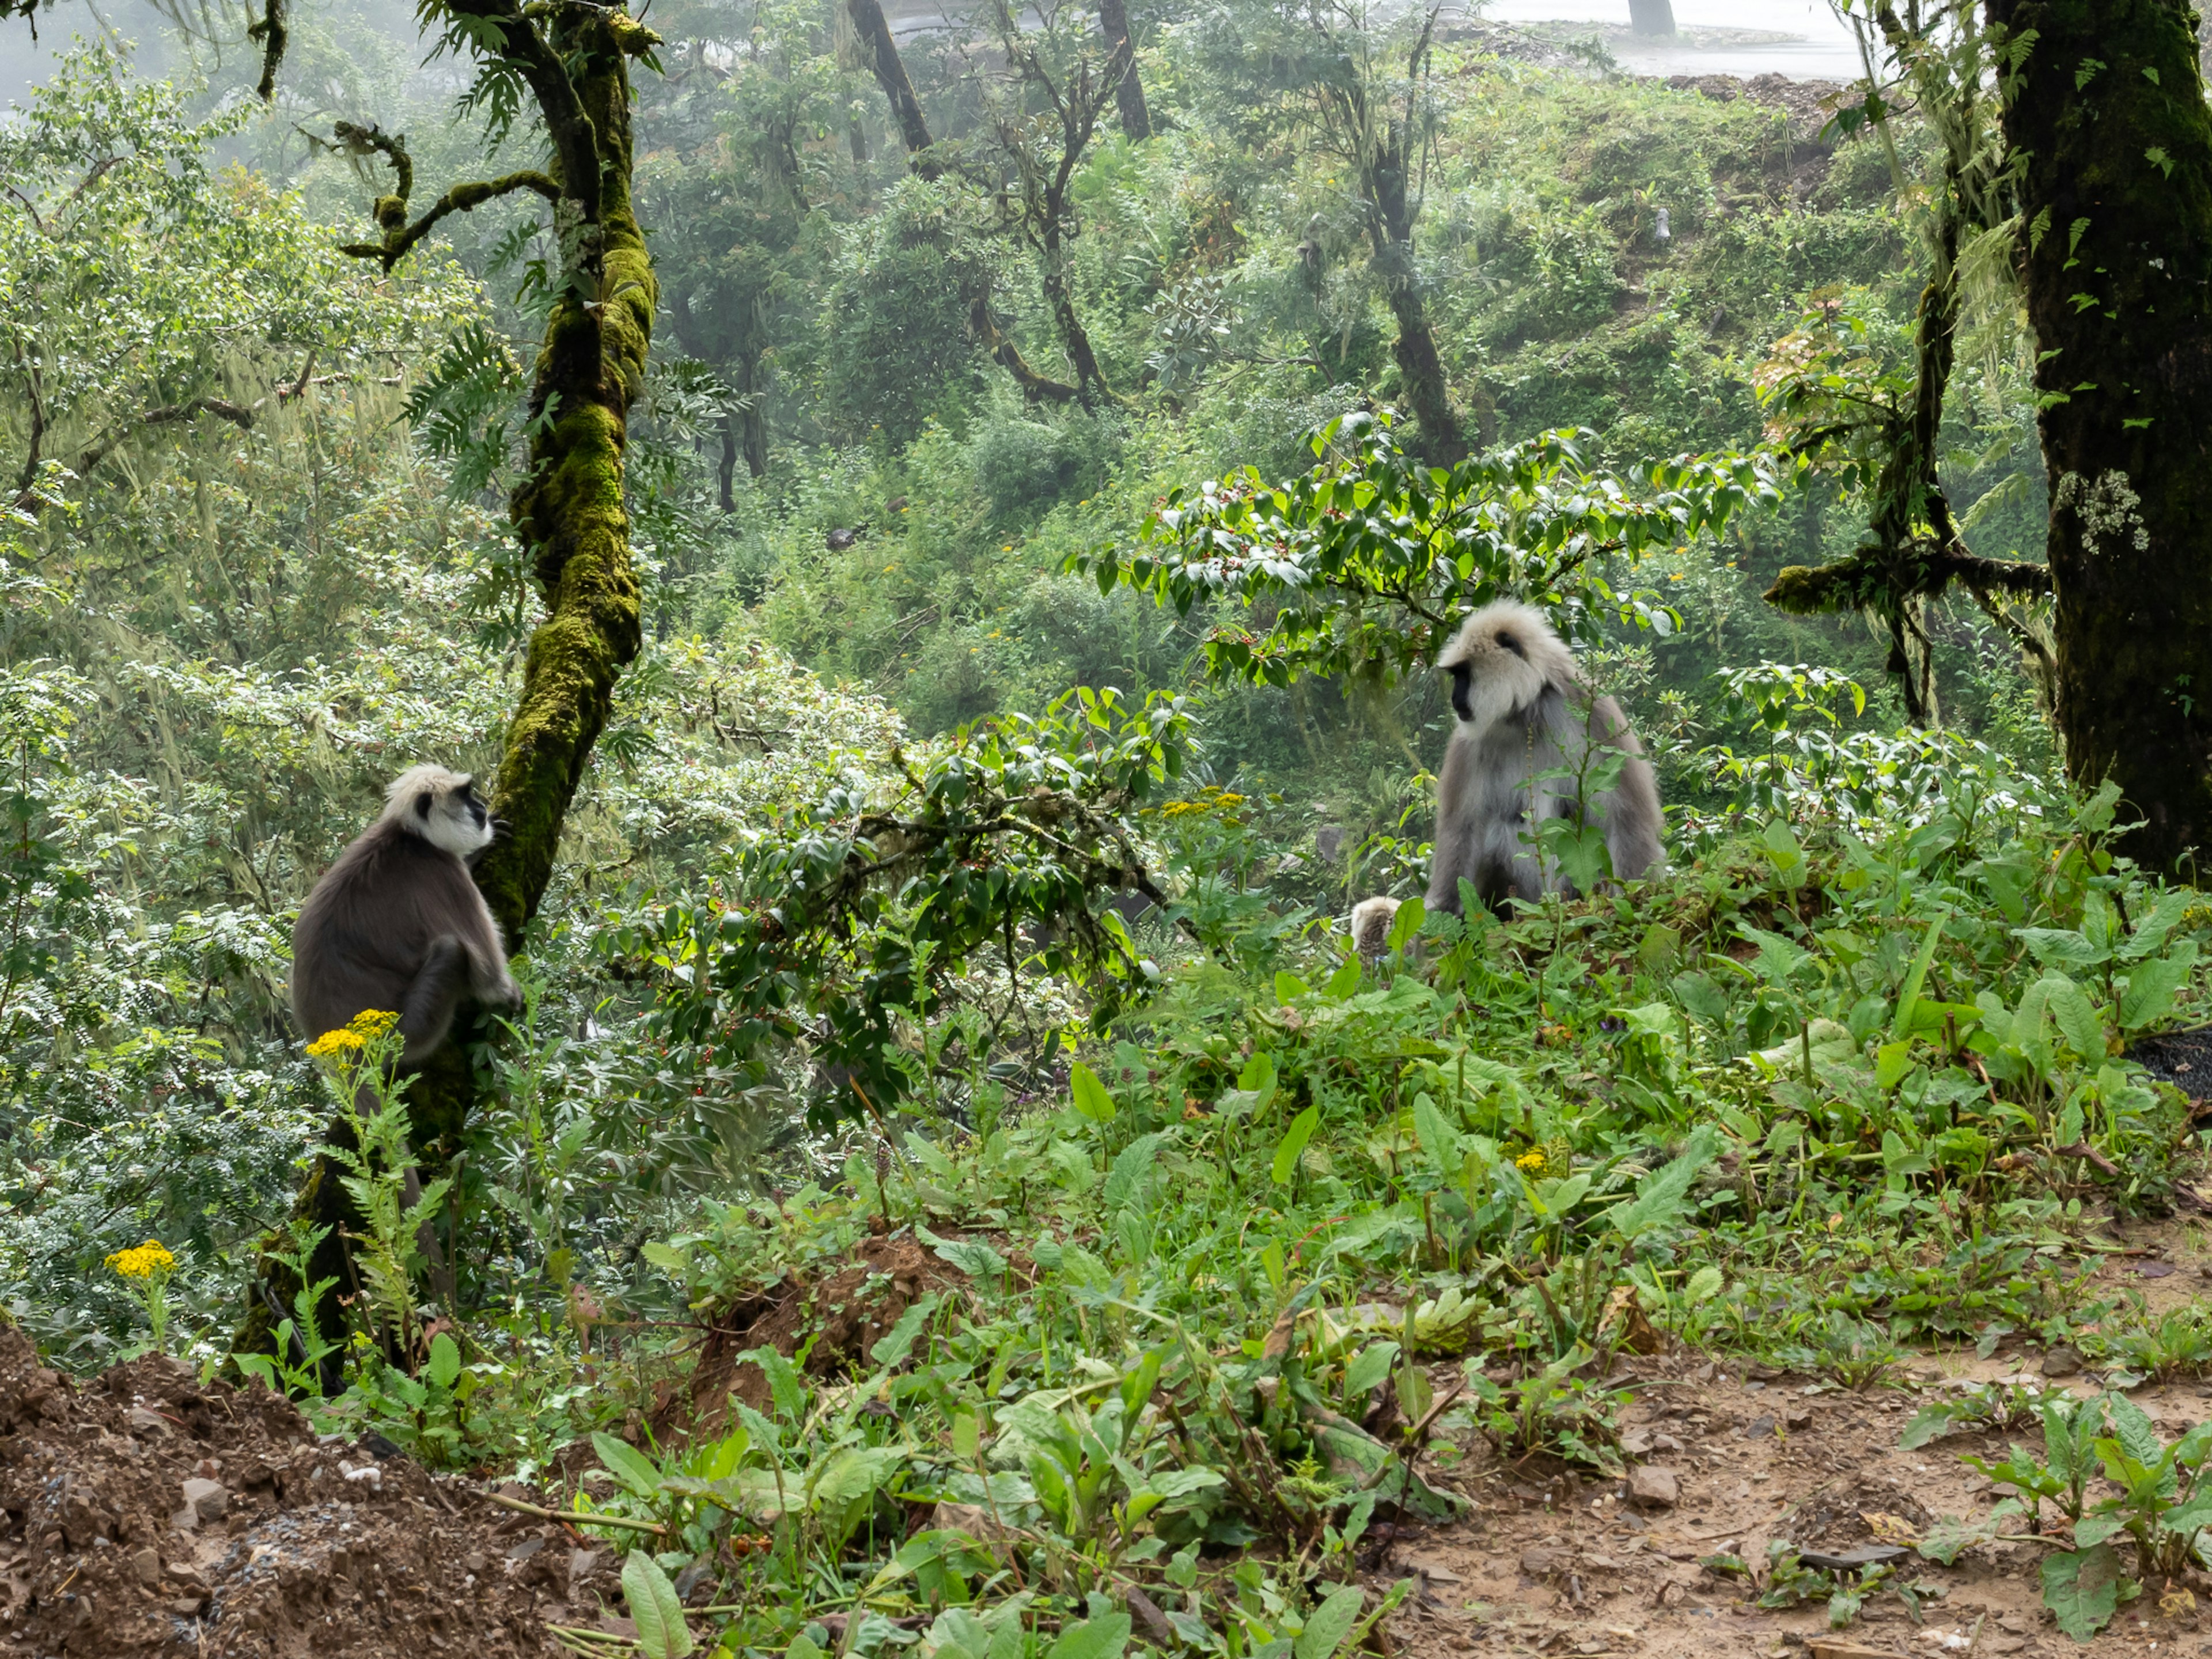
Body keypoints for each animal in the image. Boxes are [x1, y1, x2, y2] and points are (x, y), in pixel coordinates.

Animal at [291, 765, 520, 1066]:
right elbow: (488, 976)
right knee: (452, 950)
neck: (413, 838)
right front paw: (512, 995)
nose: (480, 807)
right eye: (464, 796)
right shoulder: (444, 873)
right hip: (409, 1033)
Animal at [1424, 601, 1663, 915]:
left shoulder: (1590, 709)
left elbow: (1625, 818)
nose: (1454, 699)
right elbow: (1461, 827)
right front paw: (1442, 910)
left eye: (1464, 674)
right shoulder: (1469, 742)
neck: (1525, 715)